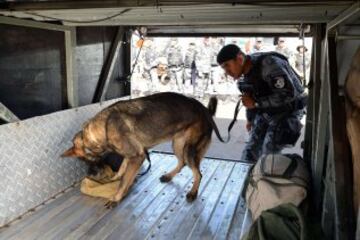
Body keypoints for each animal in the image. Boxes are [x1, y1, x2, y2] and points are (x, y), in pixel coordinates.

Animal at [61, 92, 218, 208]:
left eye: (89, 161)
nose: (90, 173)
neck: (105, 127)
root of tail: (205, 110)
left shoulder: (137, 157)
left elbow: (125, 181)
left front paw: (116, 198)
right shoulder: (130, 156)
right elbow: (122, 171)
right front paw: (114, 178)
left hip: (188, 149)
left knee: (198, 173)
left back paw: (193, 192)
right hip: (178, 145)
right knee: (182, 163)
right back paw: (168, 176)